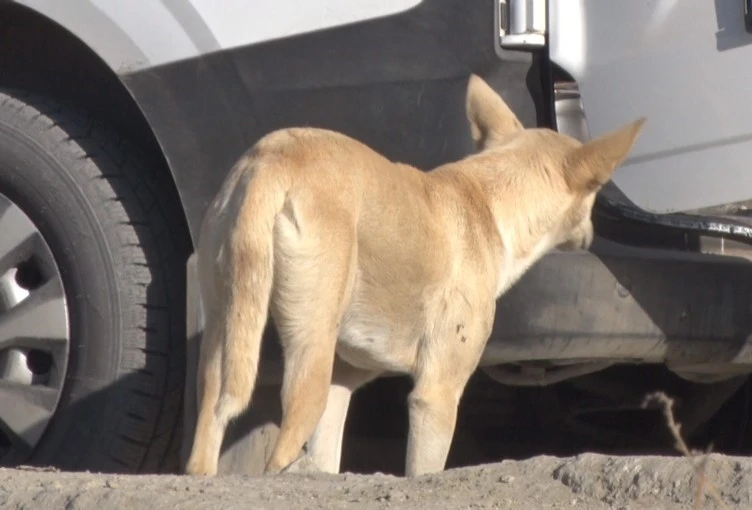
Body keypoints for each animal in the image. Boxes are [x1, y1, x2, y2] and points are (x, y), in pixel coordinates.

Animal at [185, 75, 644, 478]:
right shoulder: (435, 397)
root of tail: (273, 158)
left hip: (224, 342)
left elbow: (327, 456)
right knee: (277, 457)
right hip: (308, 358)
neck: (487, 202)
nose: (591, 235)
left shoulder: (342, 382)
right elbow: (423, 469)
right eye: (597, 190)